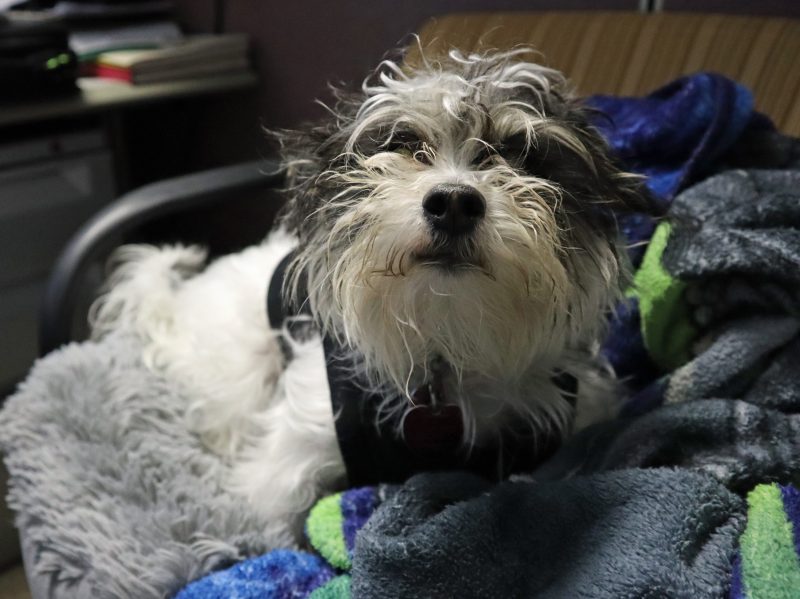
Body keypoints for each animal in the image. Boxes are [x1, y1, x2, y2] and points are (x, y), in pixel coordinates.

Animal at [90, 49, 652, 548]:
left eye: (524, 156)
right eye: (404, 145)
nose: (453, 202)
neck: (445, 350)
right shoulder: (293, 448)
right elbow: (273, 517)